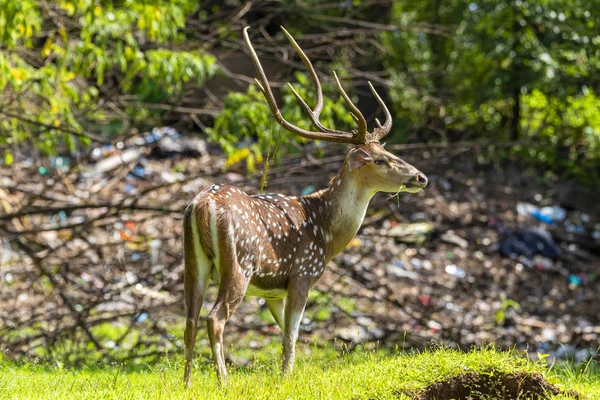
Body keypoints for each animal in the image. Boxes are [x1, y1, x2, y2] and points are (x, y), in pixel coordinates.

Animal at [183, 26, 426, 386]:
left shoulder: (273, 290)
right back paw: (223, 381)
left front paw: (285, 373)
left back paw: (186, 382)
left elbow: (284, 331)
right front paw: (286, 377)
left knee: (189, 319)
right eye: (379, 160)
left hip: (193, 262)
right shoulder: (302, 273)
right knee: (215, 318)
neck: (326, 232)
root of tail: (202, 207)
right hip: (240, 264)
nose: (421, 177)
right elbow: (292, 334)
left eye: (389, 151)